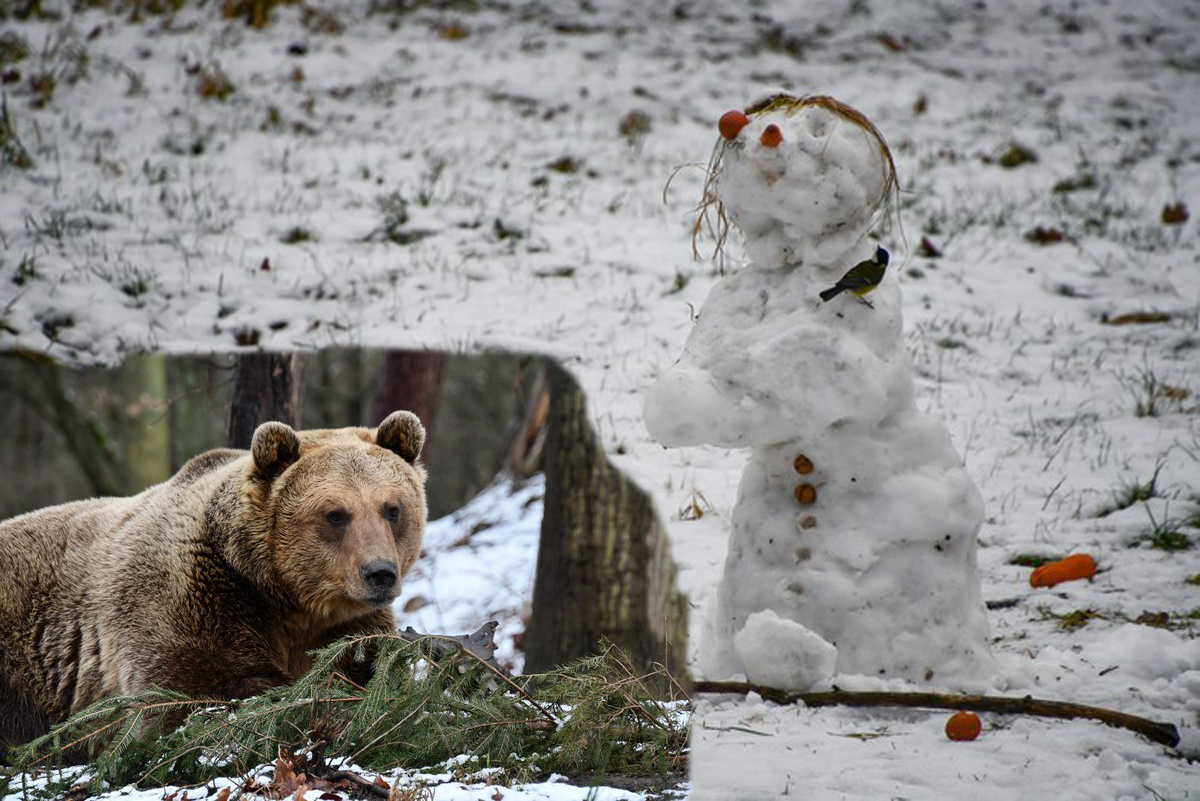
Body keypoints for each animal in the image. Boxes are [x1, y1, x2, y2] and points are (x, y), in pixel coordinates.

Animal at [0, 410, 429, 753]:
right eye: (336, 514)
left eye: (391, 509)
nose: (379, 573)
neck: (285, 599)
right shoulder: (188, 606)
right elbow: (196, 695)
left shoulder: (344, 627)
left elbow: (363, 665)